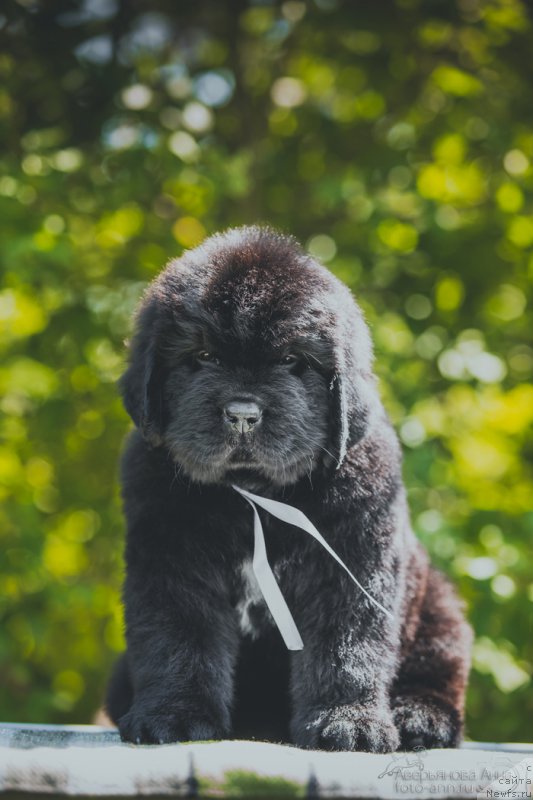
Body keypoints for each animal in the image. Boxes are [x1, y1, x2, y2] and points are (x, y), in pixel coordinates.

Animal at [106, 225, 472, 752]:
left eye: (290, 360)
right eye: (204, 356)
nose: (242, 413)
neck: (253, 494)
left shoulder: (352, 555)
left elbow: (347, 643)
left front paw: (350, 723)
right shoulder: (171, 556)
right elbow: (177, 636)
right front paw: (173, 717)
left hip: (438, 606)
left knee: (436, 666)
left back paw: (421, 717)